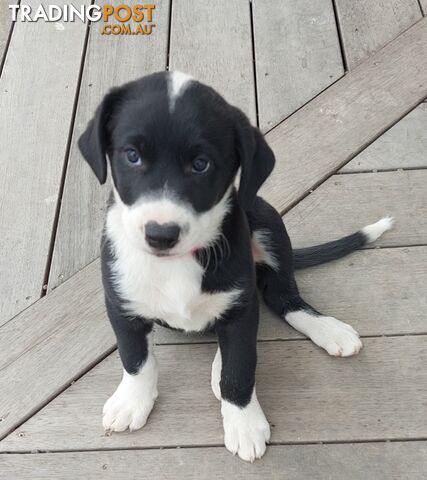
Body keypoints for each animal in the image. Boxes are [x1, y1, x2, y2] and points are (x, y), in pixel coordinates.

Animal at [78, 71, 392, 462]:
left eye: (201, 164)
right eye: (132, 156)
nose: (161, 234)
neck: (179, 263)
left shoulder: (241, 309)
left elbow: (240, 369)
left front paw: (244, 424)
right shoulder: (120, 304)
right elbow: (135, 358)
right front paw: (132, 401)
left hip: (266, 218)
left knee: (281, 297)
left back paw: (325, 329)